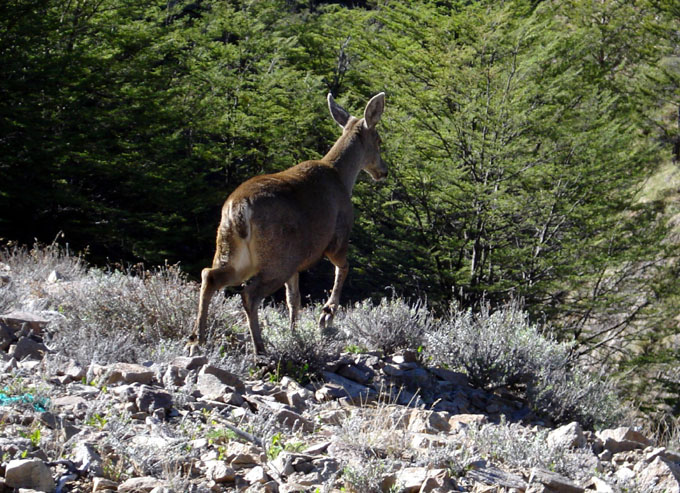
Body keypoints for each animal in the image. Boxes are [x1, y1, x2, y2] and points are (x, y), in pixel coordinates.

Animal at [187, 92, 388, 354]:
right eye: (379, 140)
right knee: (249, 294)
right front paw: (326, 314)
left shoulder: (298, 263)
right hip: (278, 258)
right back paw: (259, 348)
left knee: (209, 276)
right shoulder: (337, 238)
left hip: (234, 252)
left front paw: (295, 334)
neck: (341, 177)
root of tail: (238, 210)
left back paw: (196, 341)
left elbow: (294, 299)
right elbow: (343, 268)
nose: (383, 171)